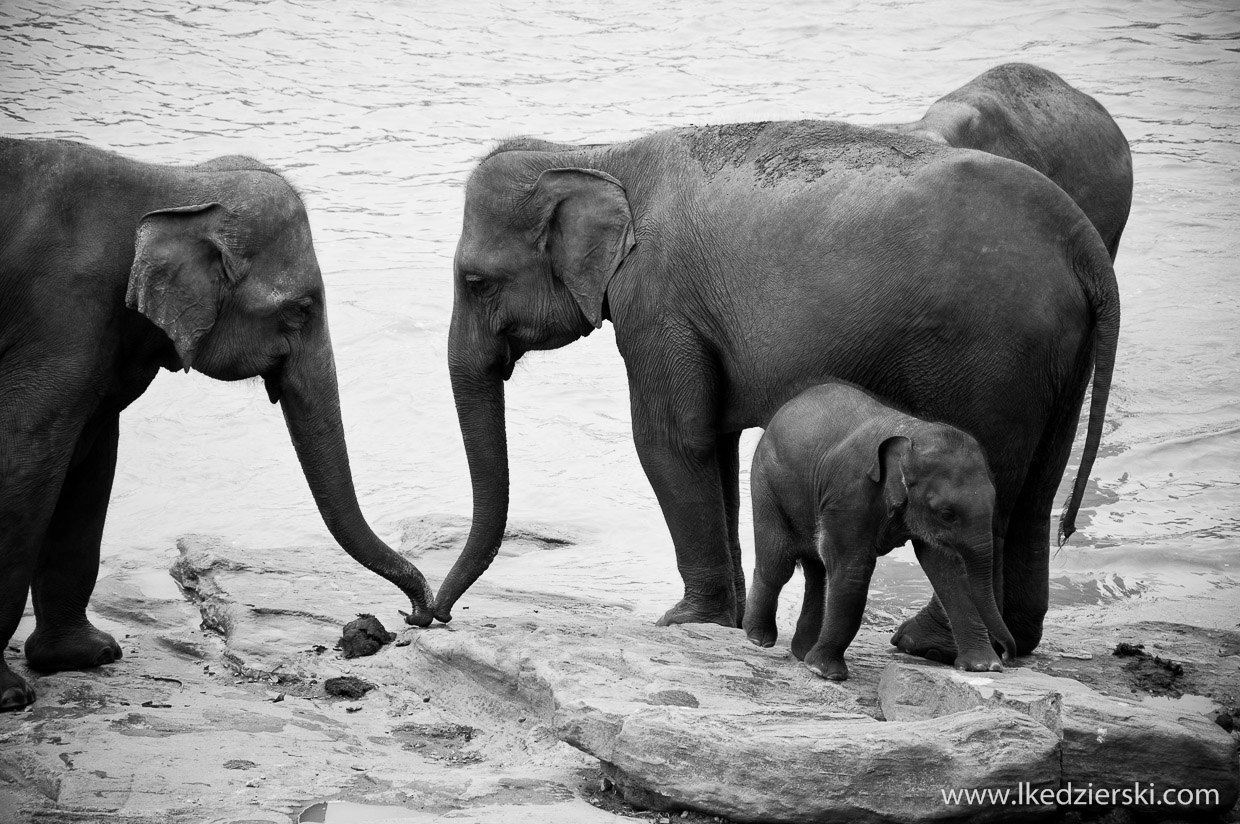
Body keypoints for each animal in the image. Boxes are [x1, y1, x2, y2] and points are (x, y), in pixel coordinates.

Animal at [0, 138, 436, 708]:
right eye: (301, 310)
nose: (416, 615)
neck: (174, 182)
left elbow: (91, 464)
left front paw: (89, 656)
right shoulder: (59, 316)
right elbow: (25, 457)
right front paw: (11, 696)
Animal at [744, 381, 1016, 679]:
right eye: (947, 514)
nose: (1008, 655)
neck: (913, 432)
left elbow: (947, 570)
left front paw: (982, 667)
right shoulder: (849, 495)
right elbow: (853, 569)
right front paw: (827, 672)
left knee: (816, 571)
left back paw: (801, 652)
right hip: (766, 483)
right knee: (778, 562)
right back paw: (759, 638)